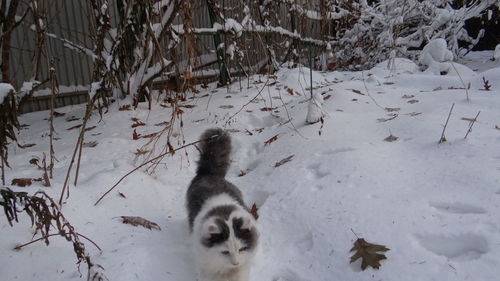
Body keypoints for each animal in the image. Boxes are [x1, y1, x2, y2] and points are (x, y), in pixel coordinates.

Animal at [186, 127, 260, 280]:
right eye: (225, 252)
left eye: (241, 249)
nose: (235, 262)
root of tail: (209, 173)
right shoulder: (207, 268)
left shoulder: (243, 267)